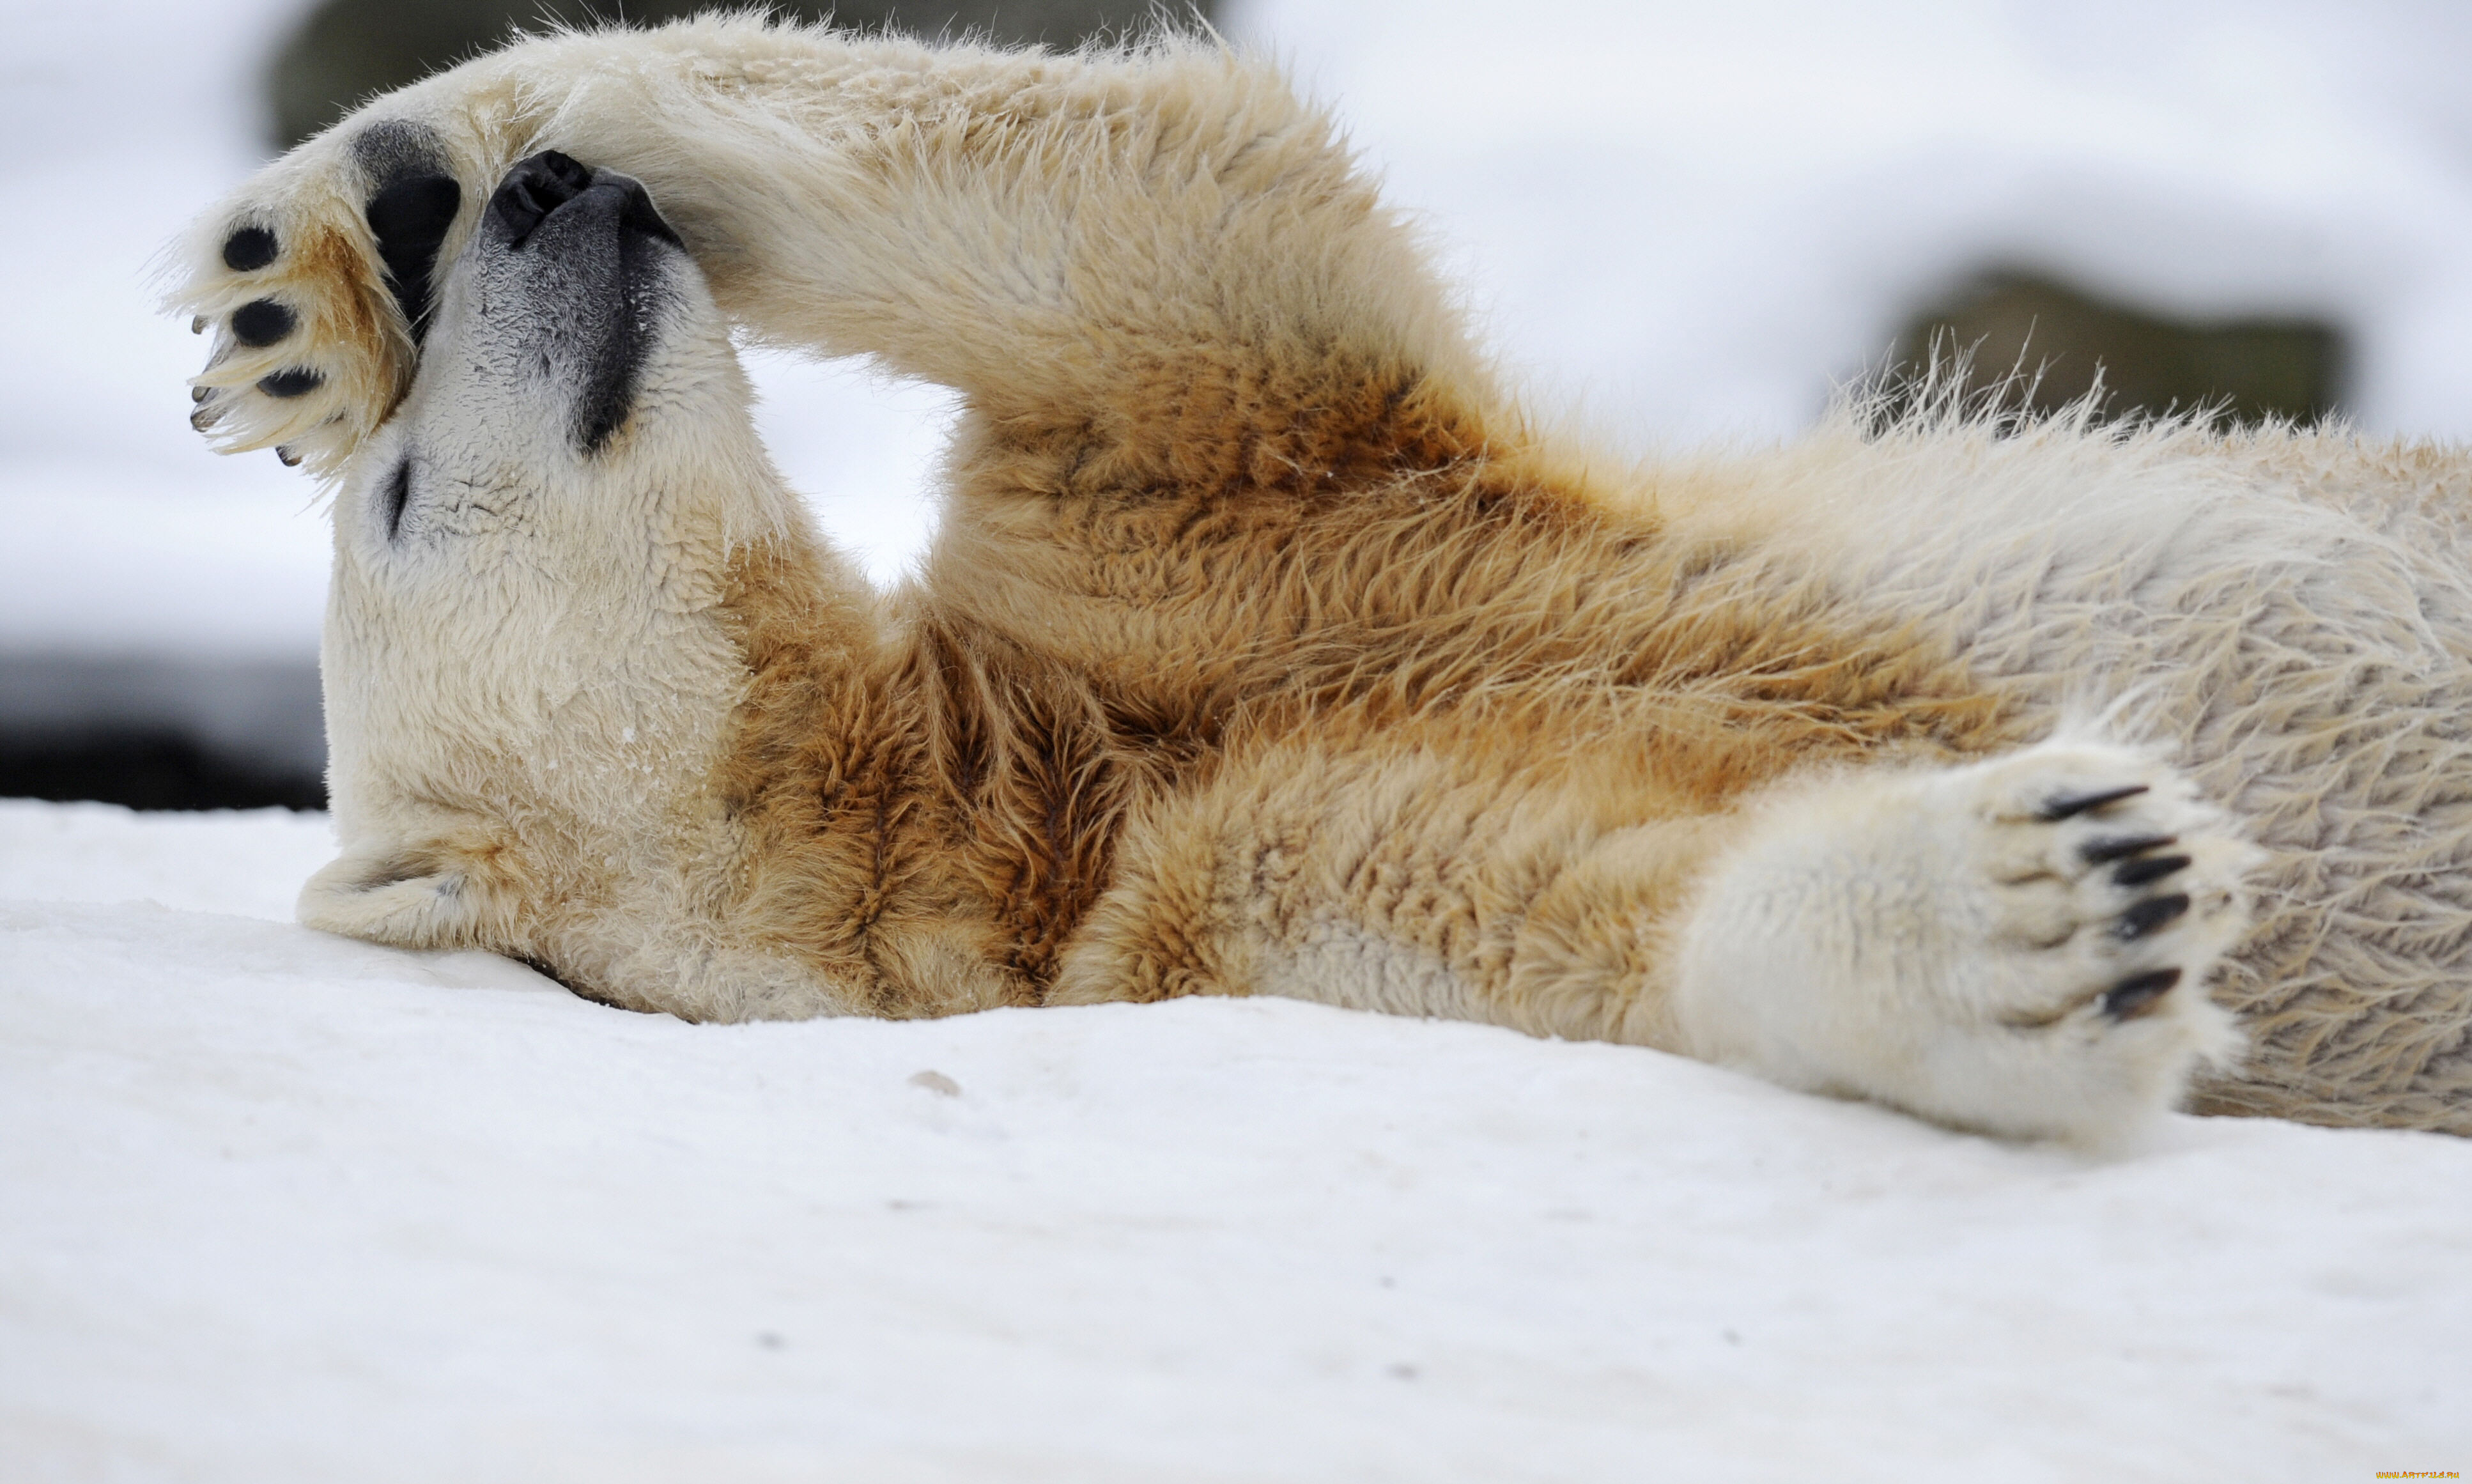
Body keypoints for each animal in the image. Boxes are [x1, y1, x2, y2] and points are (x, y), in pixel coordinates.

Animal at [169, 16, 2470, 1141]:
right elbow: (1608, 931)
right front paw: (2057, 898)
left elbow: (1162, 230)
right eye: (406, 509)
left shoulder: (1201, 541)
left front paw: (326, 249)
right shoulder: (1228, 905)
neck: (1028, 790)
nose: (547, 213)